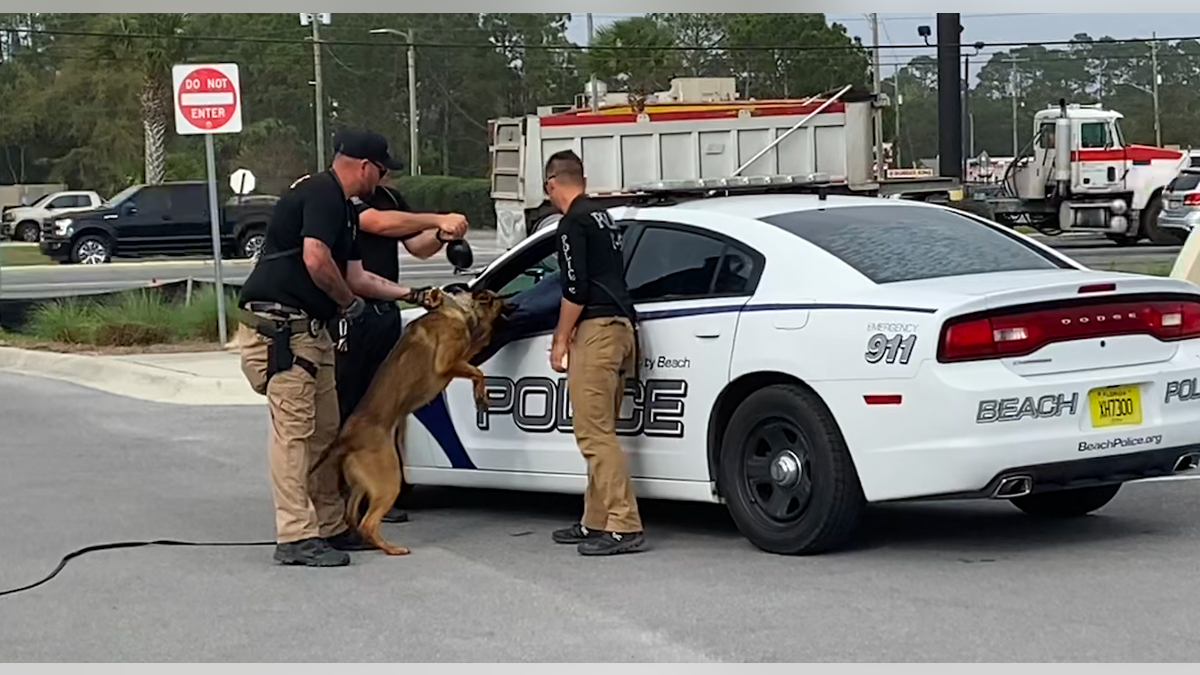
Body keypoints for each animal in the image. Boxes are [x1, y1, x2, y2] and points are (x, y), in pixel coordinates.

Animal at [307, 285, 508, 554]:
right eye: (498, 298)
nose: (514, 303)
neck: (455, 309)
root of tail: (346, 437)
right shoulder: (448, 362)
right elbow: (477, 371)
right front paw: (480, 396)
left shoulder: (464, 354)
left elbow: (476, 357)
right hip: (389, 481)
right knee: (368, 523)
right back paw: (391, 548)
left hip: (362, 484)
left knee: (353, 515)